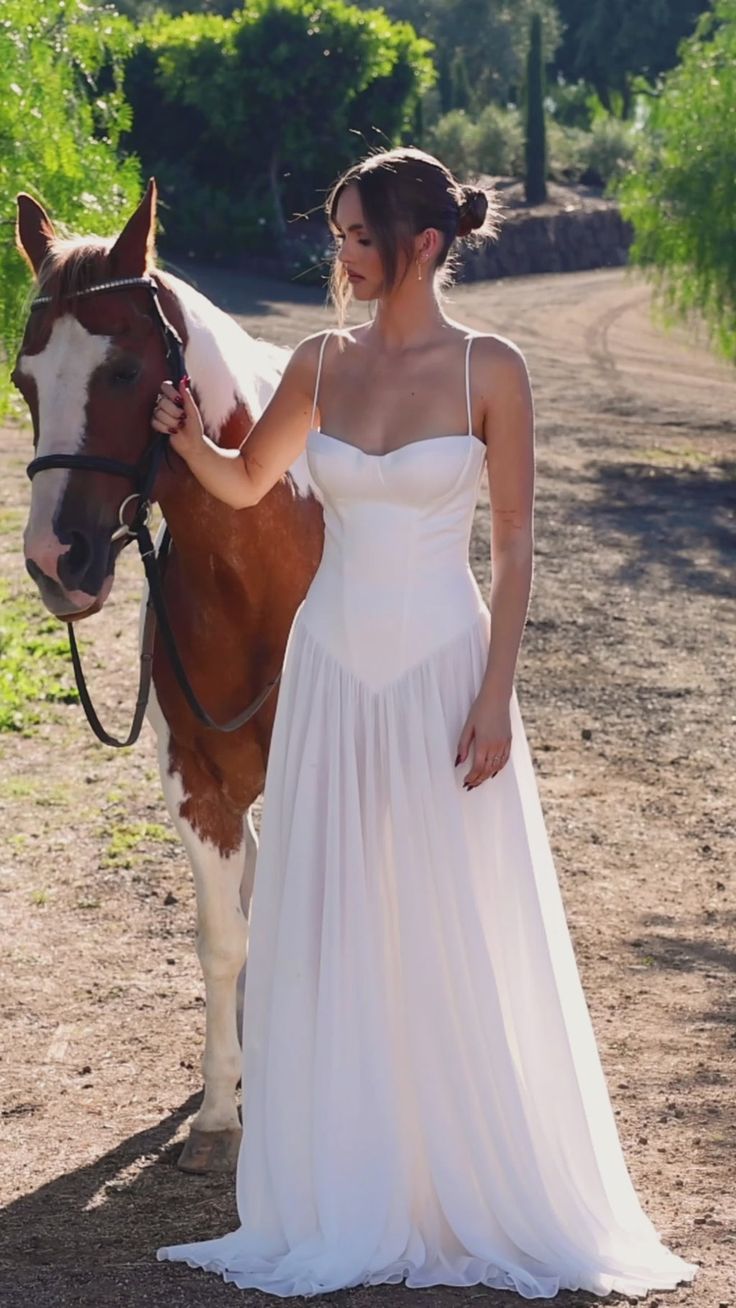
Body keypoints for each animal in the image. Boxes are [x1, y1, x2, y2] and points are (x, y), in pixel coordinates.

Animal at [12, 176, 325, 1177]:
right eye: (26, 381)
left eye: (120, 372)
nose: (55, 562)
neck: (258, 575)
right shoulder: (198, 783)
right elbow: (223, 938)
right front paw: (221, 1117)